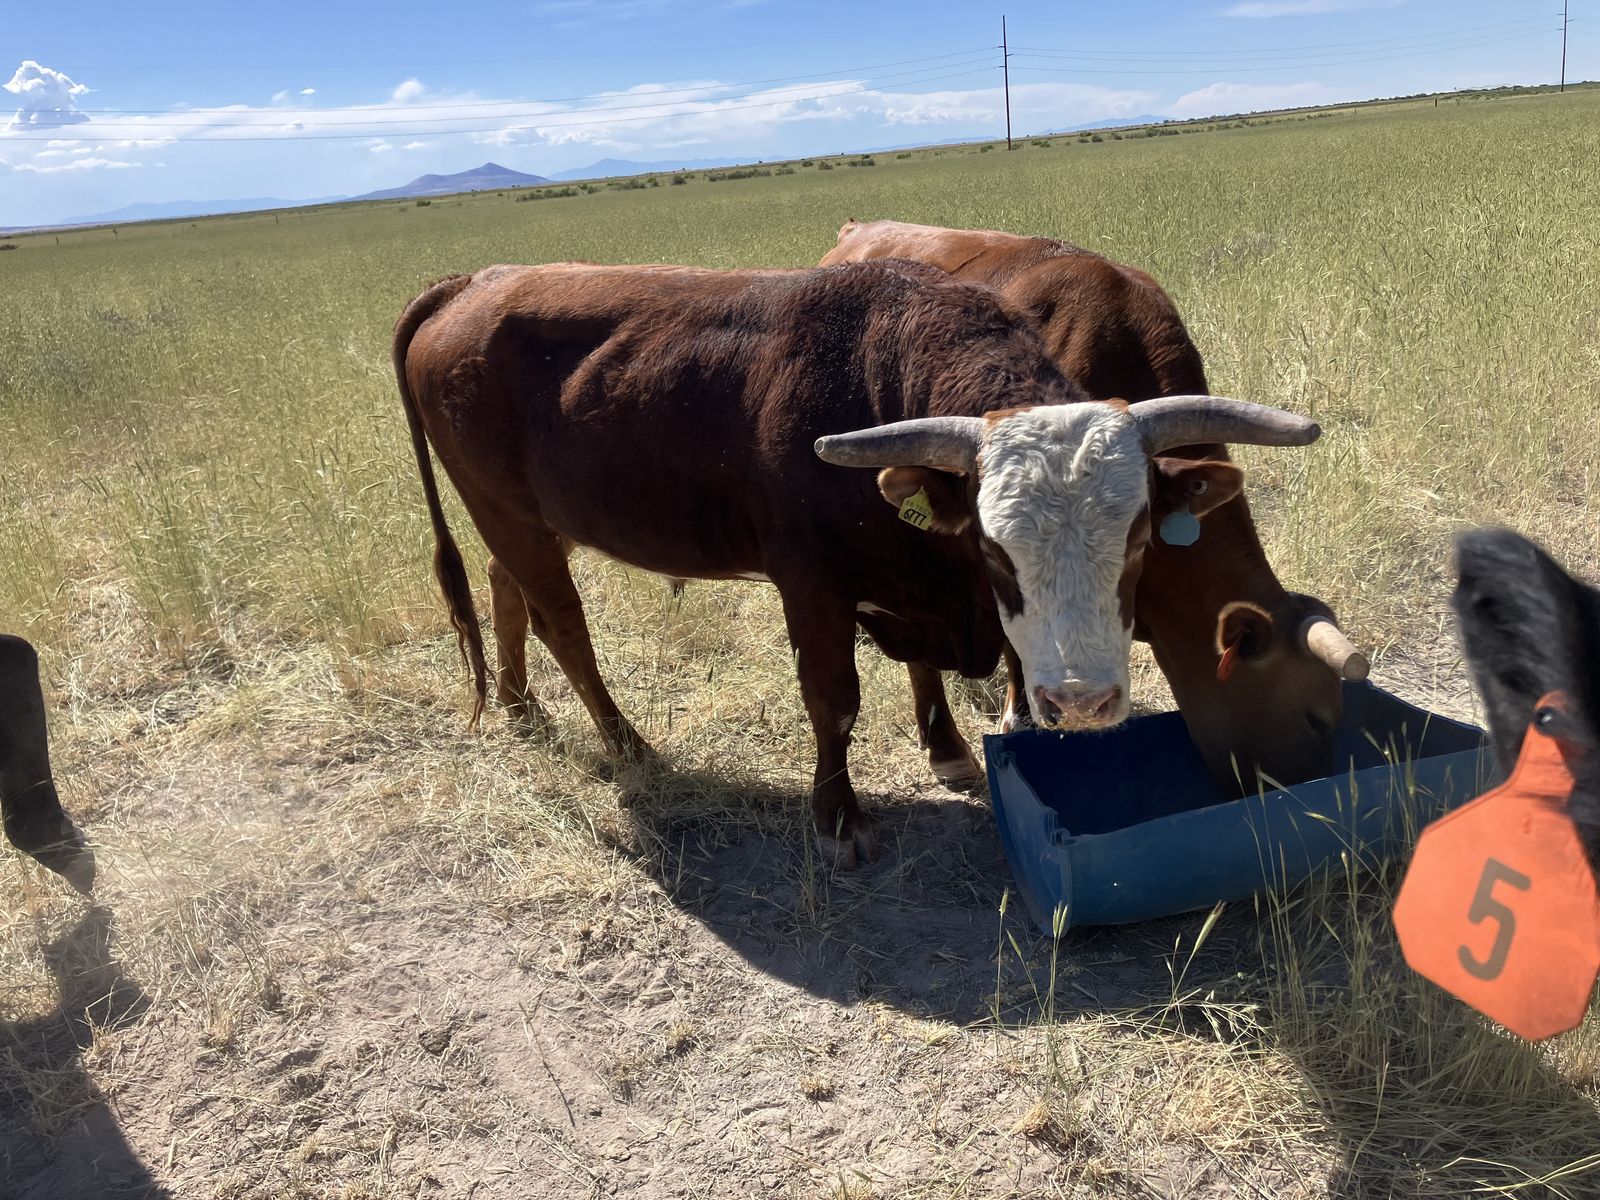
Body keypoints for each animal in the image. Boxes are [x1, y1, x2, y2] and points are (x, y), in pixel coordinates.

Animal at [395, 259, 1320, 865]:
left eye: (1134, 538)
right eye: (994, 548)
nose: (1081, 703)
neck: (878, 370)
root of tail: (474, 282)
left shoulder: (914, 585)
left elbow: (921, 671)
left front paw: (946, 747)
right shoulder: (813, 588)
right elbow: (834, 700)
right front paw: (838, 817)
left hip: (526, 521)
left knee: (506, 591)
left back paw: (521, 708)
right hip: (510, 514)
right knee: (563, 622)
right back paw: (626, 743)